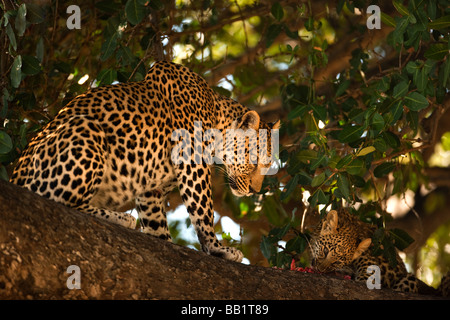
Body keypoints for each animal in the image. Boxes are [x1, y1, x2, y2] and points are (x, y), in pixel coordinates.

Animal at [9, 60, 278, 262]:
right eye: (255, 161)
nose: (254, 191)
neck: (216, 112)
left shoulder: (152, 188)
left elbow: (155, 220)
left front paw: (163, 241)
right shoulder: (192, 160)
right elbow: (203, 210)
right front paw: (217, 248)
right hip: (86, 130)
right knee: (60, 199)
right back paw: (120, 218)